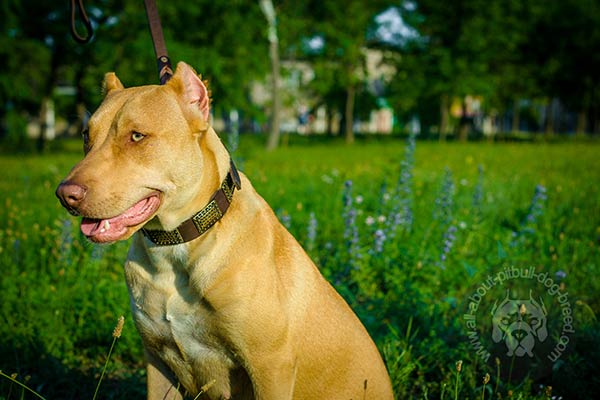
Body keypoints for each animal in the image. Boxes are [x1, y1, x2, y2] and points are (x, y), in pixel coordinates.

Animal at [56, 62, 394, 400]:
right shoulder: (157, 361)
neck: (176, 246)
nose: (65, 194)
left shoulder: (269, 366)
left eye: (137, 136)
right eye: (86, 135)